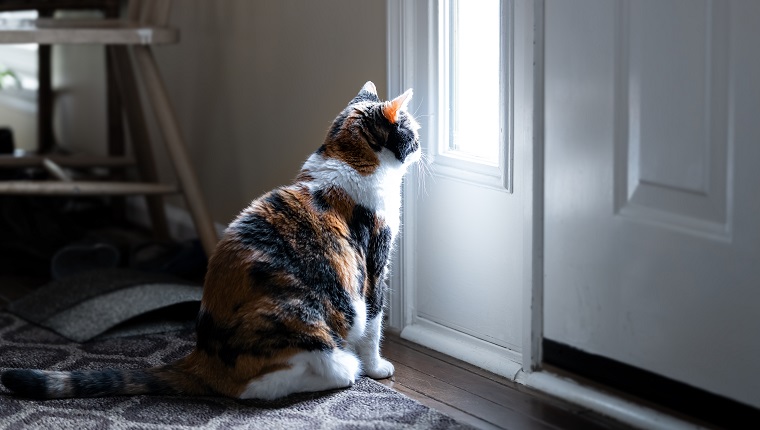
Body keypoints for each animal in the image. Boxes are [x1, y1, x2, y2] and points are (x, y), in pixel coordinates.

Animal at [0, 82, 418, 402]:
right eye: (412, 130)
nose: (421, 146)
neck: (347, 157)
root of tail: (203, 358)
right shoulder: (374, 266)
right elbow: (374, 323)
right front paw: (377, 367)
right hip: (307, 322)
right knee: (261, 386)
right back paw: (345, 370)